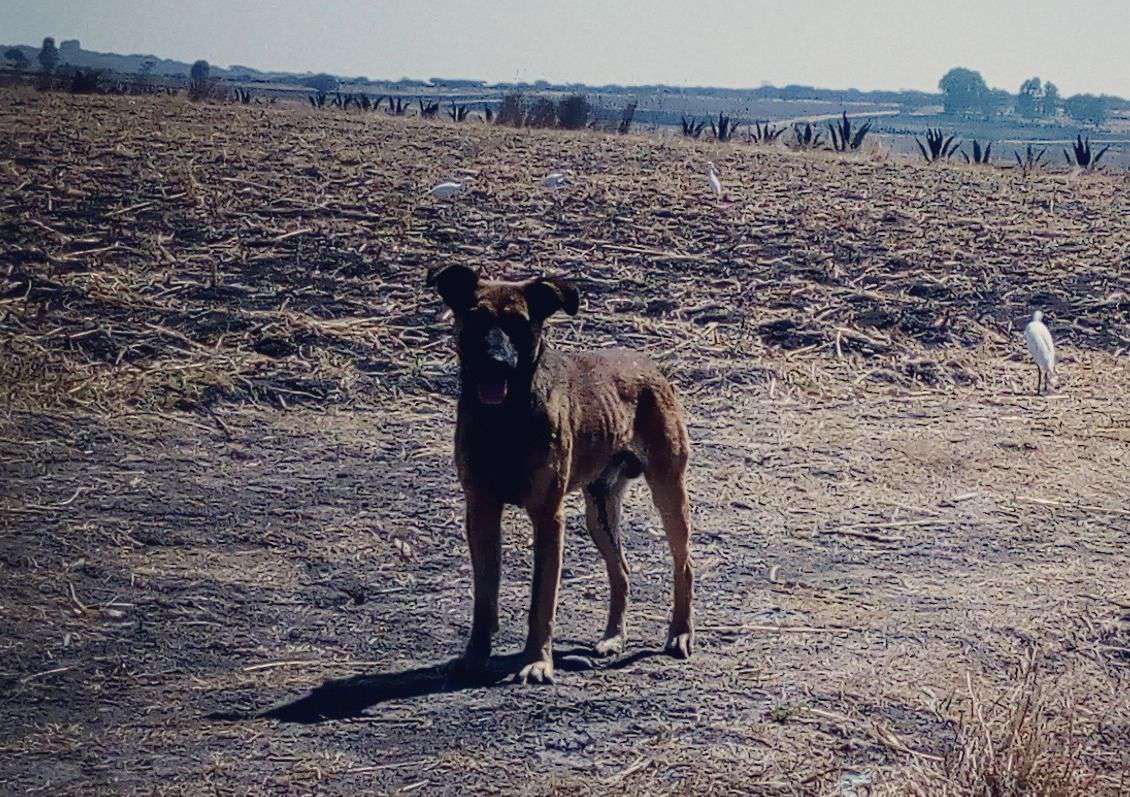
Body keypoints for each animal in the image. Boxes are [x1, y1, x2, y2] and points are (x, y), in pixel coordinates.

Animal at [429, 262, 696, 682]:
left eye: (520, 323)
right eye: (476, 319)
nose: (495, 363)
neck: (505, 419)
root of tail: (648, 364)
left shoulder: (548, 518)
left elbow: (542, 599)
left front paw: (537, 661)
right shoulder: (481, 512)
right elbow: (484, 596)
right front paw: (475, 656)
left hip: (669, 492)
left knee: (683, 565)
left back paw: (680, 633)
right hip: (598, 515)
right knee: (621, 571)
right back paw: (613, 637)